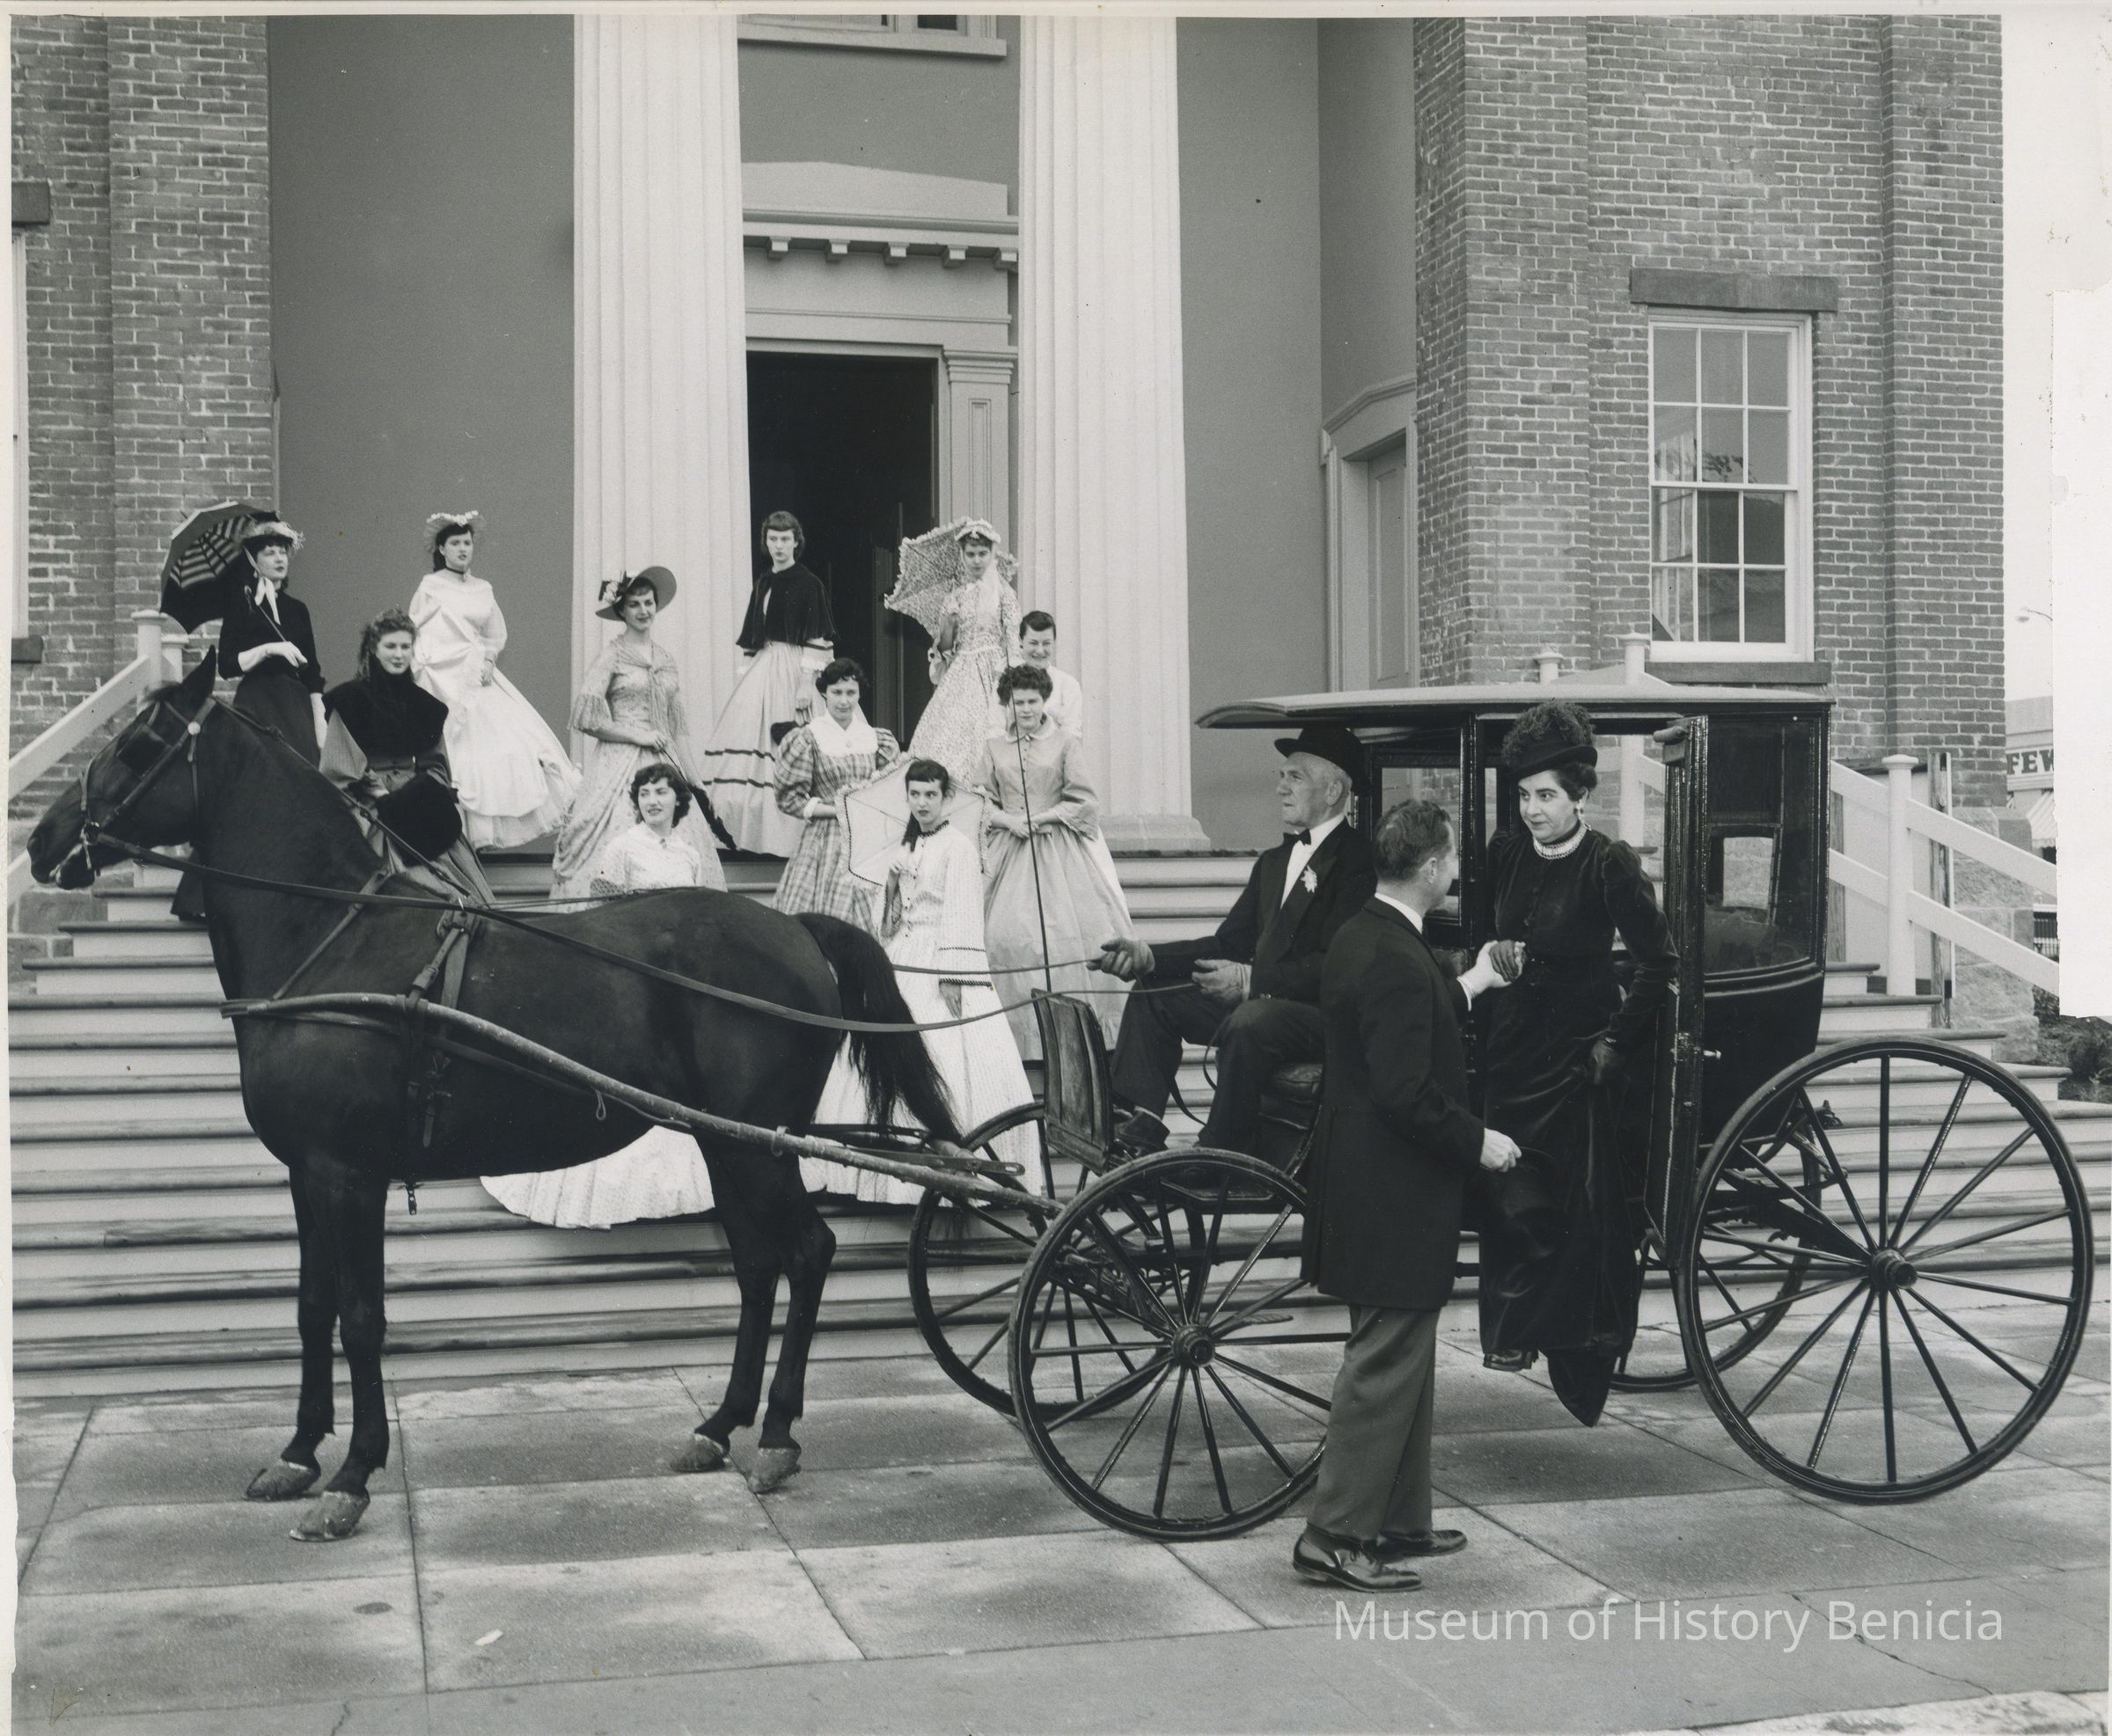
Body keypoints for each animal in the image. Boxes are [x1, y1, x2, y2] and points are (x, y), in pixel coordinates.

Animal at [26, 655, 962, 1541]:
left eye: (141, 744)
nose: (42, 840)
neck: (332, 939)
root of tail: (794, 926)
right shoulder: (306, 1173)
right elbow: (312, 1307)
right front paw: (298, 1452)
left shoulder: (348, 1174)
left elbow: (361, 1315)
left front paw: (353, 1475)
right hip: (724, 1142)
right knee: (759, 1264)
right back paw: (720, 1424)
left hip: (756, 1145)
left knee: (805, 1253)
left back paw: (774, 1434)